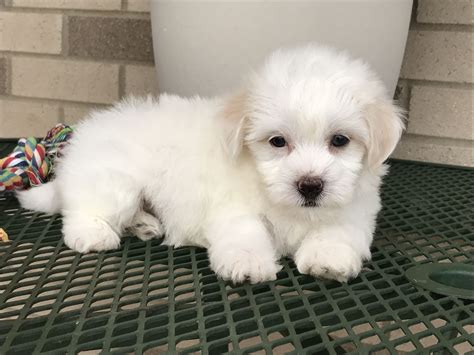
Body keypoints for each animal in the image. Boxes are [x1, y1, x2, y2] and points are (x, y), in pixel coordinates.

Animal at [17, 45, 404, 284]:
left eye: (339, 140)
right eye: (277, 141)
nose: (310, 185)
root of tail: (77, 148)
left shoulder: (354, 210)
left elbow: (337, 231)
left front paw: (328, 257)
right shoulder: (232, 208)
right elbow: (245, 231)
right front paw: (248, 263)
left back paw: (144, 224)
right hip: (114, 181)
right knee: (85, 212)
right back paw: (95, 234)